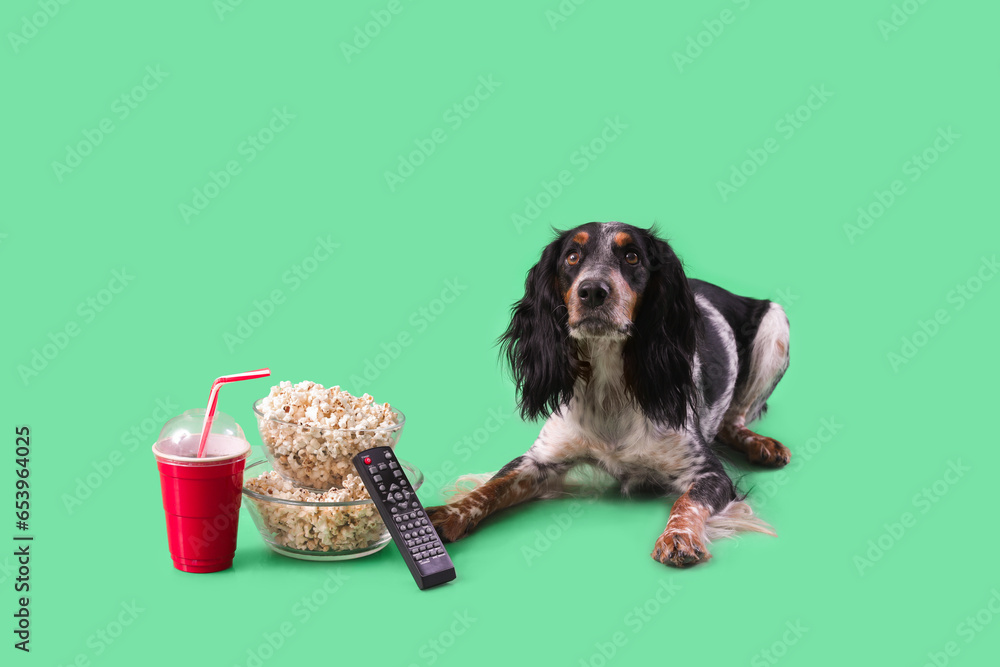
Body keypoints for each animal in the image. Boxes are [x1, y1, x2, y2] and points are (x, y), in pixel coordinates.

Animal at [426, 222, 792, 568]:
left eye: (632, 257)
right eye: (572, 257)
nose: (592, 291)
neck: (609, 385)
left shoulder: (708, 471)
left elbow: (686, 502)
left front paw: (679, 537)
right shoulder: (539, 460)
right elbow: (490, 488)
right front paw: (447, 515)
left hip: (775, 325)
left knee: (735, 419)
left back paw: (761, 445)